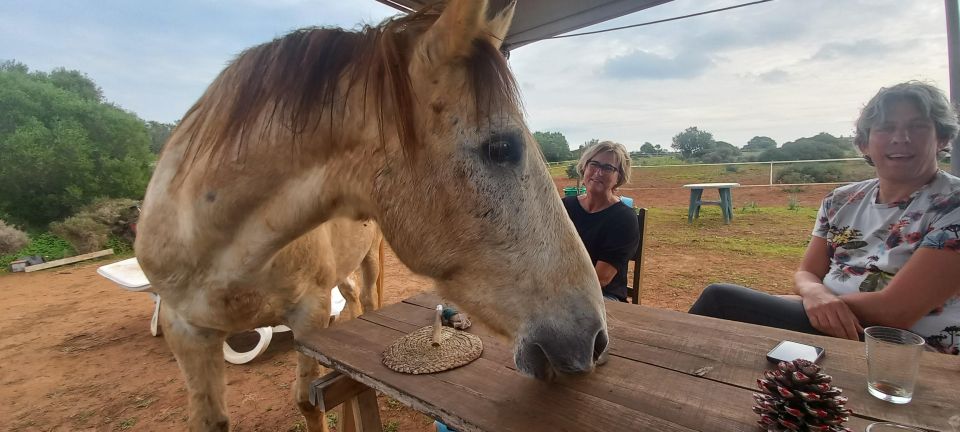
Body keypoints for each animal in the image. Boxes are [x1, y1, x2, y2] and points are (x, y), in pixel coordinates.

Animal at [134, 0, 608, 428]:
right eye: (501, 148)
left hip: (366, 263)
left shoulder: (309, 313)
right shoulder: (185, 331)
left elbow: (309, 401)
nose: (596, 339)